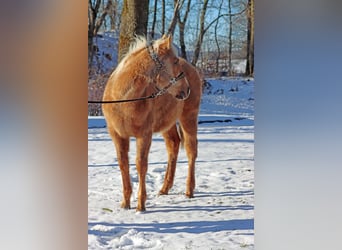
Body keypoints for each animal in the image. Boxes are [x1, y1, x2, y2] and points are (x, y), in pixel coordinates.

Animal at [103, 35, 202, 211]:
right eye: (174, 61)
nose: (186, 89)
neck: (122, 99)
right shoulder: (118, 136)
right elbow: (123, 164)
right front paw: (125, 203)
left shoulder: (144, 135)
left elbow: (141, 165)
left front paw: (140, 205)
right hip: (168, 125)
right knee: (173, 145)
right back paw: (164, 189)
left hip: (188, 118)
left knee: (191, 151)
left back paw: (189, 191)